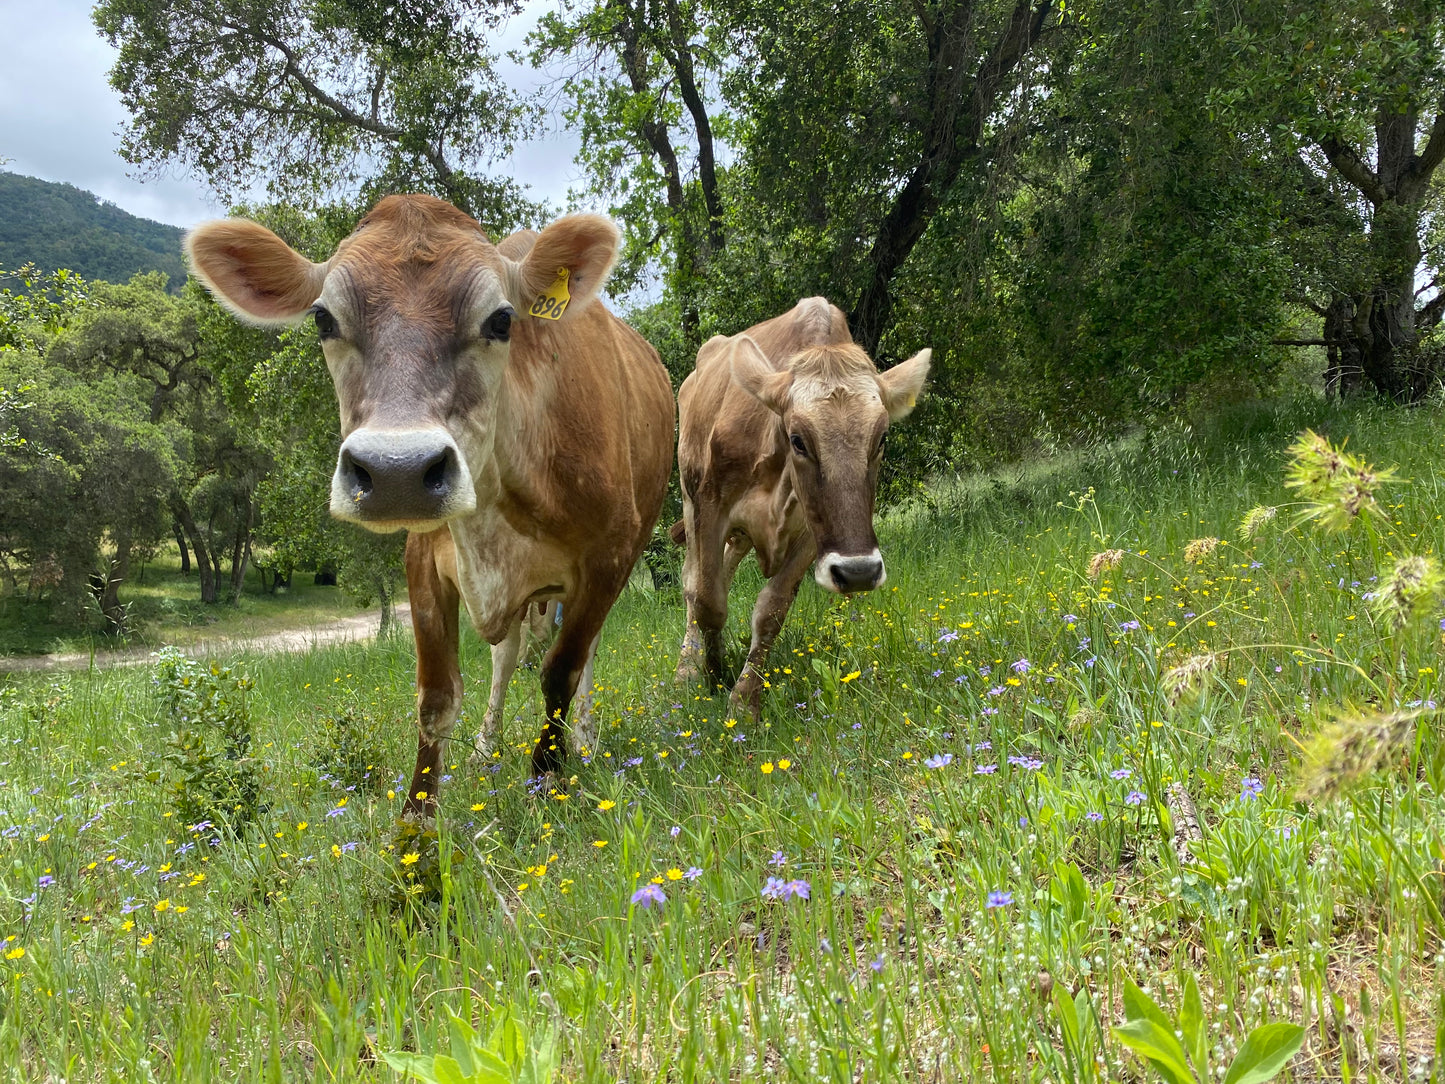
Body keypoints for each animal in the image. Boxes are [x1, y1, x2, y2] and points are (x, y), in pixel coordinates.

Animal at [185, 195, 675, 815]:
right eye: (323, 319)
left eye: (502, 320)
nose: (398, 473)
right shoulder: (423, 561)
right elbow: (438, 697)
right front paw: (417, 819)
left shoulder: (608, 558)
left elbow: (561, 673)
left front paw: (547, 781)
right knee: (505, 656)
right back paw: (487, 748)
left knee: (578, 658)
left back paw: (584, 740)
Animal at [673, 297, 929, 716]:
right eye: (798, 439)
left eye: (882, 438)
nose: (860, 573)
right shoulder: (710, 506)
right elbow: (708, 600)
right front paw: (712, 675)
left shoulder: (813, 533)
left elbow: (772, 609)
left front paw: (744, 703)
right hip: (689, 499)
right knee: (693, 583)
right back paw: (686, 667)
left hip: (741, 535)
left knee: (725, 567)